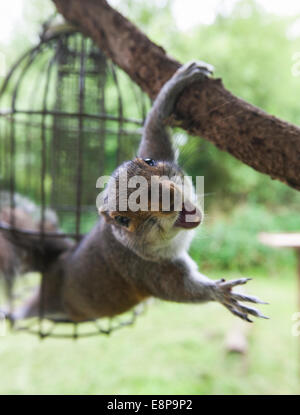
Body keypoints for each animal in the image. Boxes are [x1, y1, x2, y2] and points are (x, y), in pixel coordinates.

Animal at [1, 62, 268, 324]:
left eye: (149, 161)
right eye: (122, 220)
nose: (168, 199)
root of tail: (56, 263)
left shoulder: (155, 149)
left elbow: (154, 129)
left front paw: (175, 85)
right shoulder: (143, 270)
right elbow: (180, 290)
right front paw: (221, 292)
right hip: (50, 300)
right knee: (30, 309)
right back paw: (13, 314)